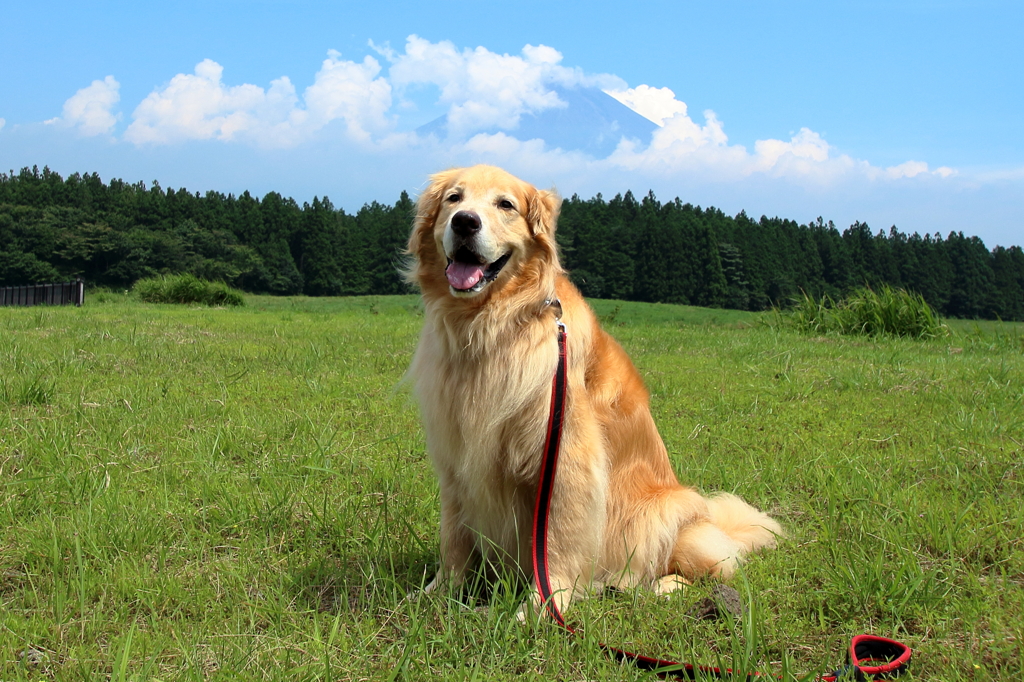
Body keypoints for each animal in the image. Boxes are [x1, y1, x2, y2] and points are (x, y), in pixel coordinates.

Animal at [403, 165, 778, 614]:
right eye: (454, 199)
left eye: (505, 204)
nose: (464, 222)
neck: (492, 326)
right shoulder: (456, 454)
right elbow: (454, 536)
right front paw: (440, 592)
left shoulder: (566, 456)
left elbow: (558, 540)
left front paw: (542, 607)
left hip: (667, 513)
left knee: (711, 567)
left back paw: (657, 586)